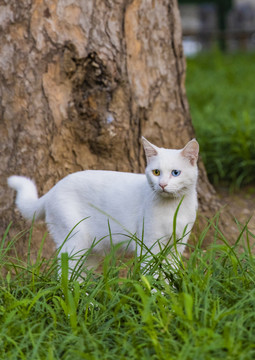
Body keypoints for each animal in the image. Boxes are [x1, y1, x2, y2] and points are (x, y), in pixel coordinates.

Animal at [7, 138, 199, 272]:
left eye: (175, 173)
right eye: (156, 172)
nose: (162, 185)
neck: (173, 208)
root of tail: (53, 189)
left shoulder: (177, 247)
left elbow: (168, 275)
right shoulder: (149, 245)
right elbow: (151, 276)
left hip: (92, 251)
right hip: (75, 241)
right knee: (66, 275)